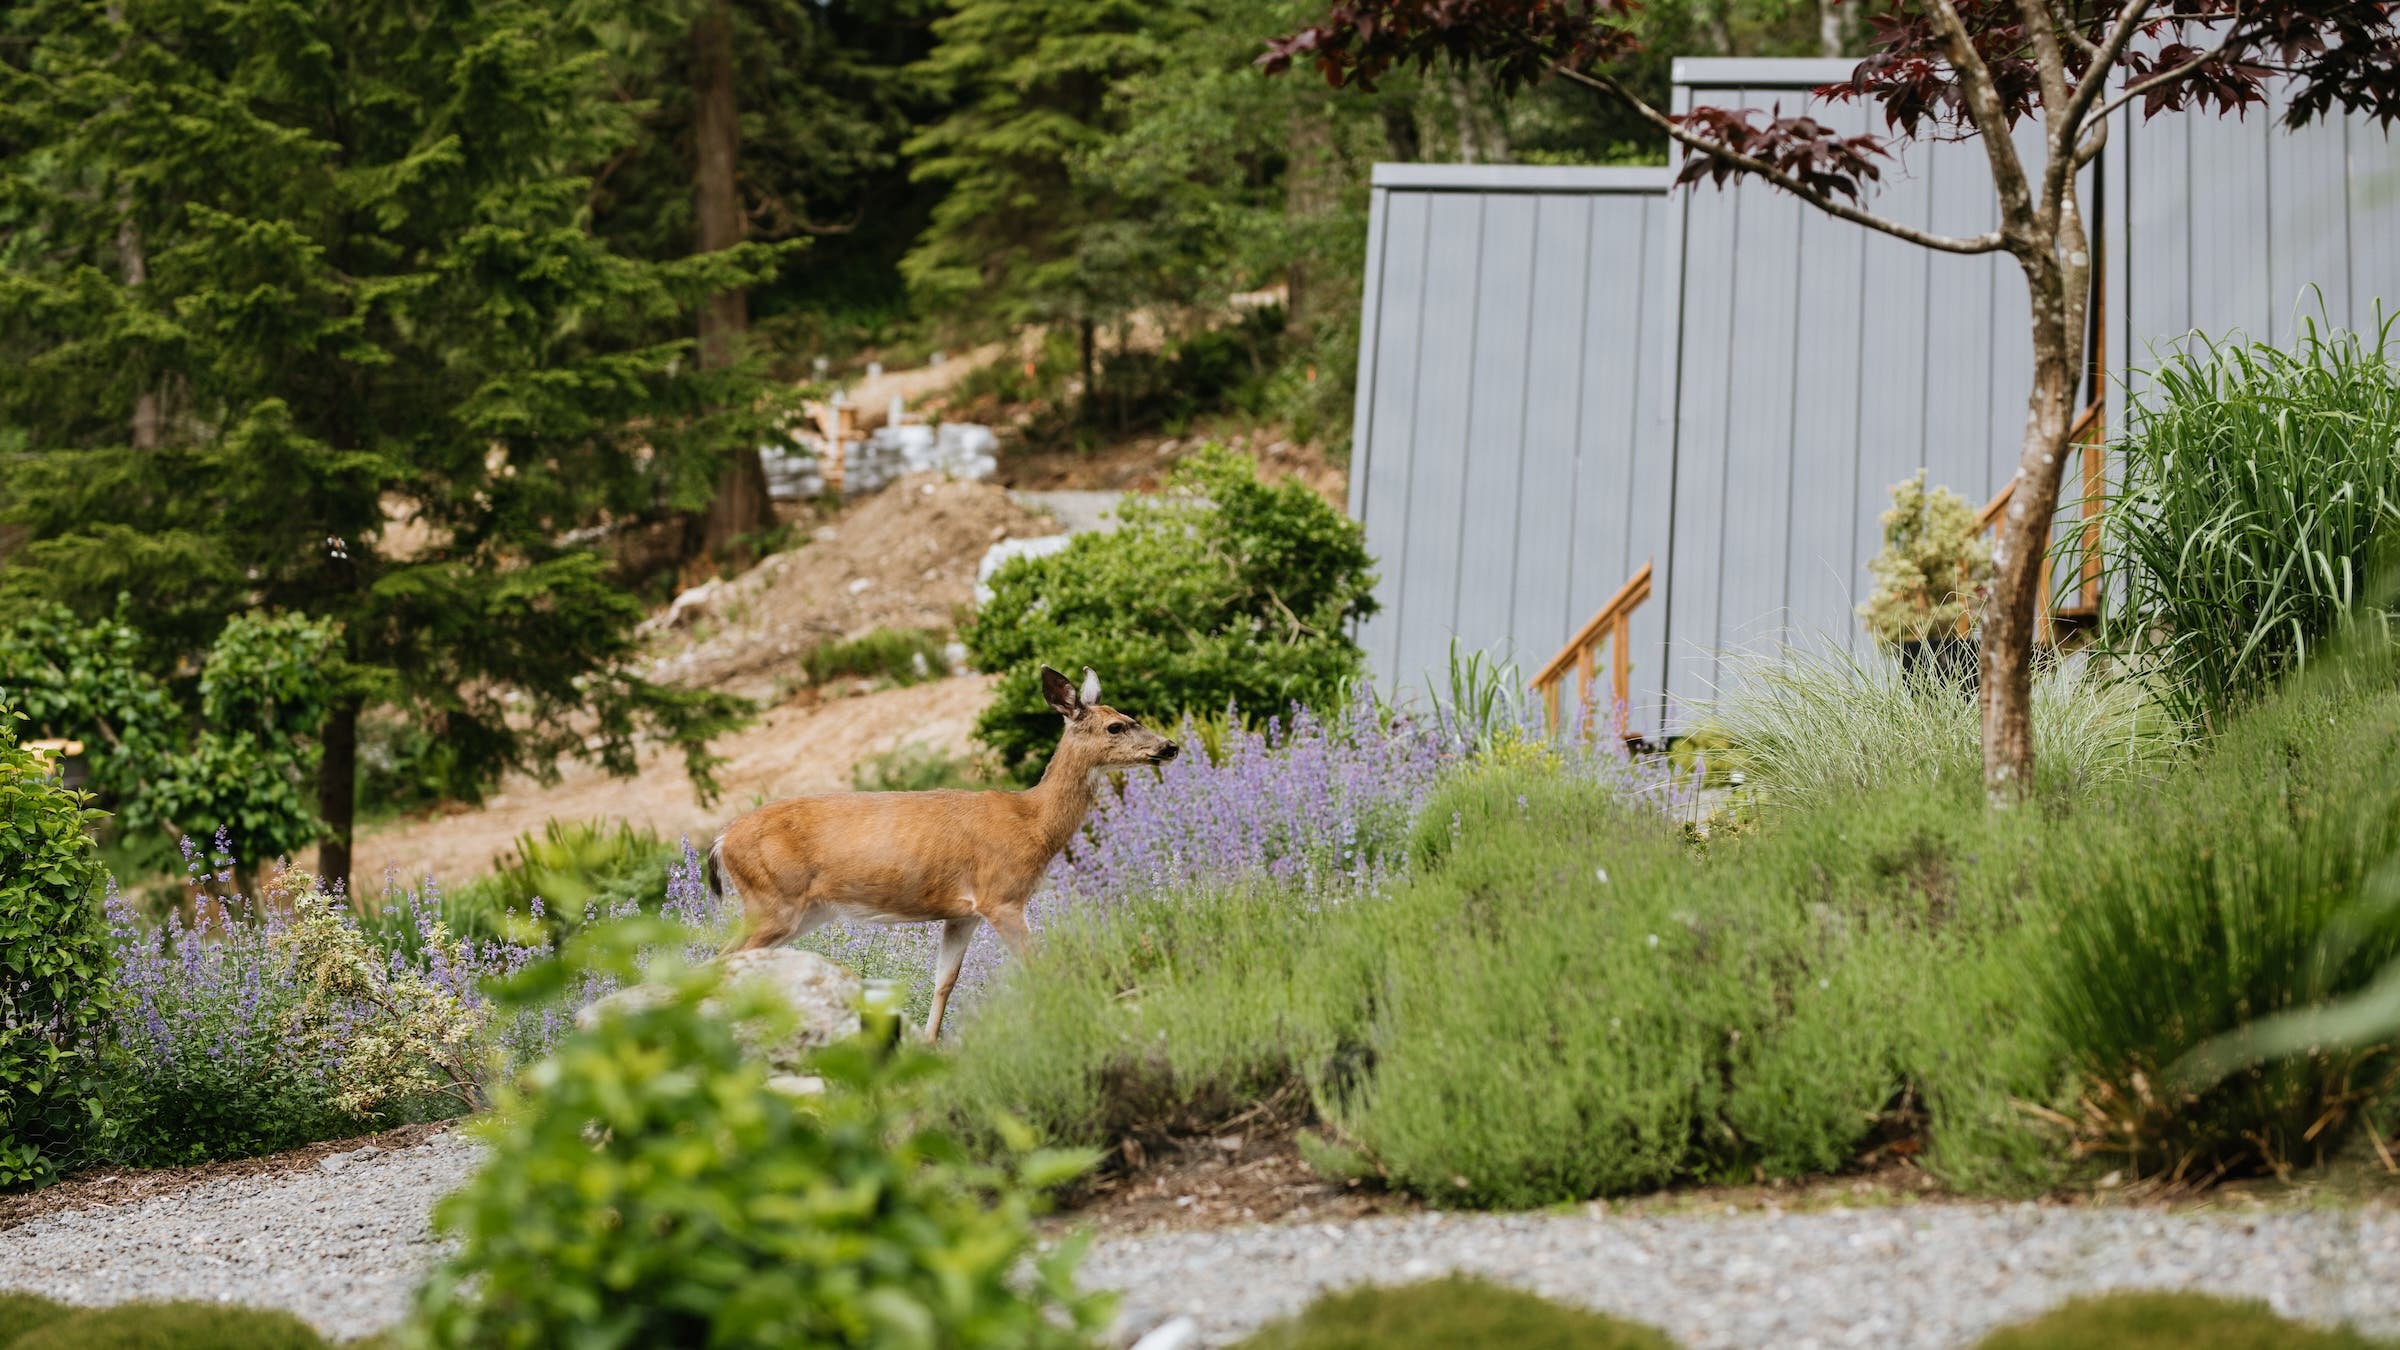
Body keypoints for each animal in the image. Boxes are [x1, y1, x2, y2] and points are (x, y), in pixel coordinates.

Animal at [705, 665, 1177, 1040]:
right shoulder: (1001, 896)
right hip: (772, 900)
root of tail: (721, 840)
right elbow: (1037, 962)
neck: (1032, 822)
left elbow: (944, 982)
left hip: (803, 911)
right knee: (721, 959)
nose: (1170, 746)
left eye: (1130, 716)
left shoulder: (963, 913)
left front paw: (931, 1043)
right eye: (1116, 726)